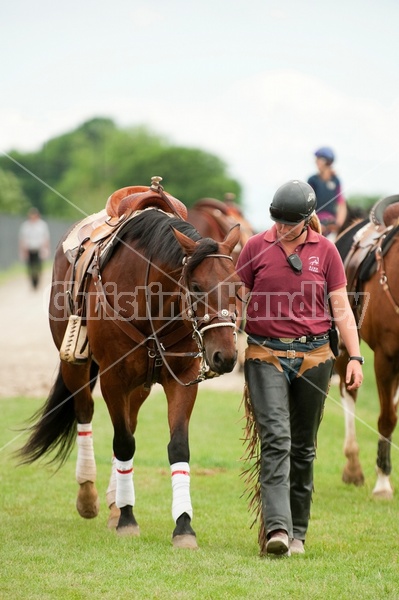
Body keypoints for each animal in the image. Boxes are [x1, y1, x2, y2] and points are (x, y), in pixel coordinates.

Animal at [18, 182, 241, 548]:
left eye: (238, 287)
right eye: (195, 287)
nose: (226, 355)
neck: (153, 302)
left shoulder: (180, 378)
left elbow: (176, 446)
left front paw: (183, 525)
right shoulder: (113, 378)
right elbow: (122, 442)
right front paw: (126, 518)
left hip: (140, 384)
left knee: (130, 423)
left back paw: (114, 501)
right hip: (76, 366)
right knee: (85, 413)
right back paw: (90, 497)